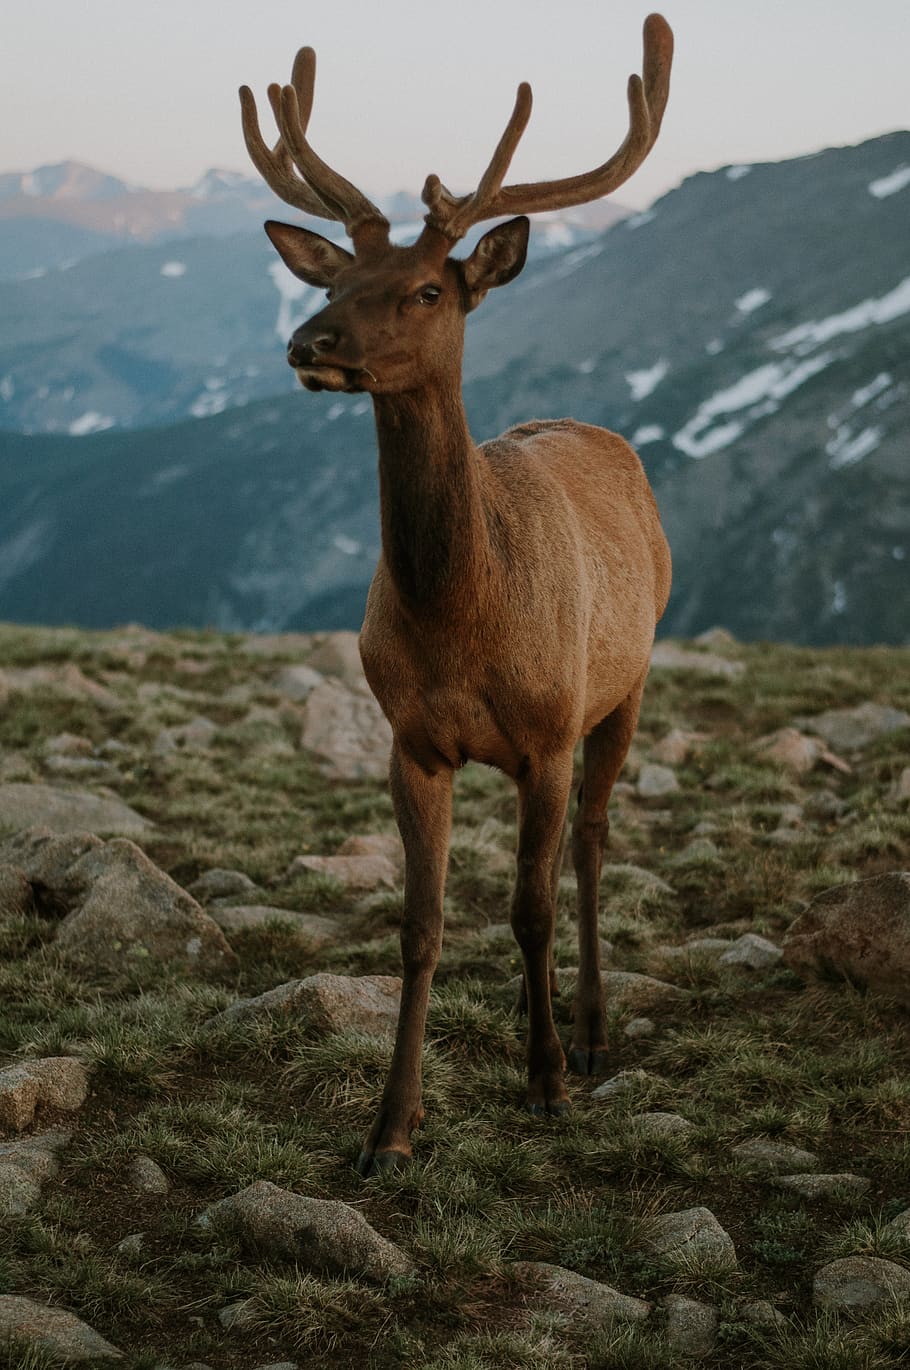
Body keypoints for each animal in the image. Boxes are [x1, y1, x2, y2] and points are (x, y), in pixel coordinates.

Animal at [240, 14, 673, 1177]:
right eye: (331, 285)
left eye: (428, 289)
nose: (307, 344)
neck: (462, 619)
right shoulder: (412, 738)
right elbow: (421, 926)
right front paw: (391, 1127)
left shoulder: (549, 730)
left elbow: (527, 907)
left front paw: (549, 1080)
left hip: (625, 684)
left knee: (590, 844)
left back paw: (591, 1027)